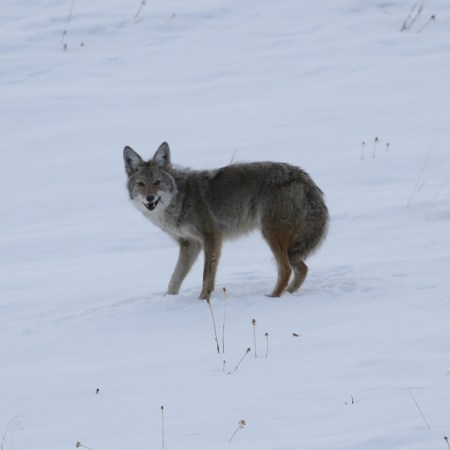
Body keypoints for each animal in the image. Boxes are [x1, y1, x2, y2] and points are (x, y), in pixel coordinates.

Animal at [123, 142, 328, 300]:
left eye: (157, 182)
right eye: (141, 184)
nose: (150, 198)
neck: (179, 200)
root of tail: (303, 176)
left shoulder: (211, 237)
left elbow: (206, 275)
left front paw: (203, 299)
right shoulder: (189, 244)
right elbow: (174, 279)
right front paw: (168, 300)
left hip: (270, 234)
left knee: (286, 269)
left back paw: (273, 296)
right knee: (302, 268)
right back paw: (289, 293)